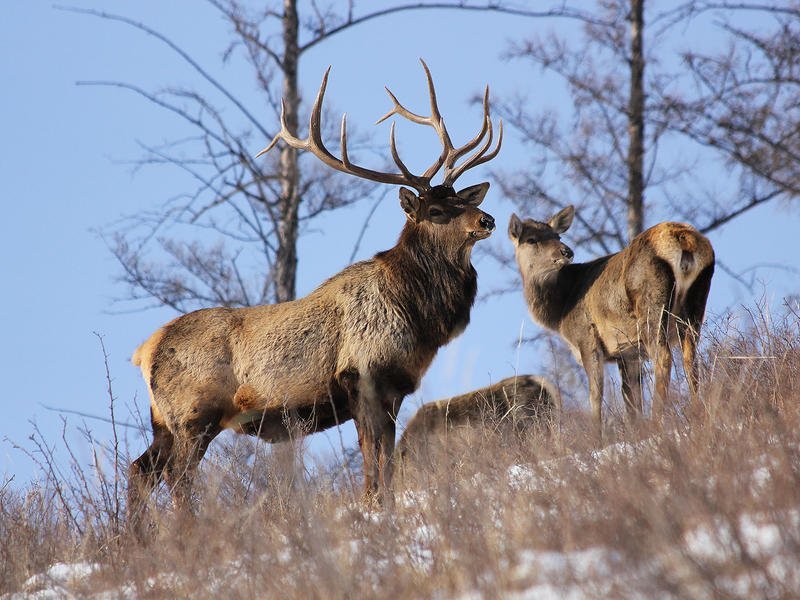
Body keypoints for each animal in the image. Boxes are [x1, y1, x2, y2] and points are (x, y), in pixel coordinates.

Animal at [128, 59, 504, 528]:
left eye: (463, 199)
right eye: (436, 210)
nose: (487, 219)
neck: (418, 313)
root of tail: (144, 351)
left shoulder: (395, 389)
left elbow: (388, 459)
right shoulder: (361, 377)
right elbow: (372, 455)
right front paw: (373, 508)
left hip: (163, 421)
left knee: (140, 470)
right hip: (193, 415)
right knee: (176, 476)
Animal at [510, 207, 716, 436]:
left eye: (557, 236)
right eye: (531, 239)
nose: (566, 252)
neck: (560, 312)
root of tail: (683, 239)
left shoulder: (586, 336)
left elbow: (596, 393)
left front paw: (596, 435)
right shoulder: (629, 352)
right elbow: (632, 398)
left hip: (651, 305)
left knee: (663, 357)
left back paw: (657, 421)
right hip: (697, 302)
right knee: (691, 360)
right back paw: (698, 414)